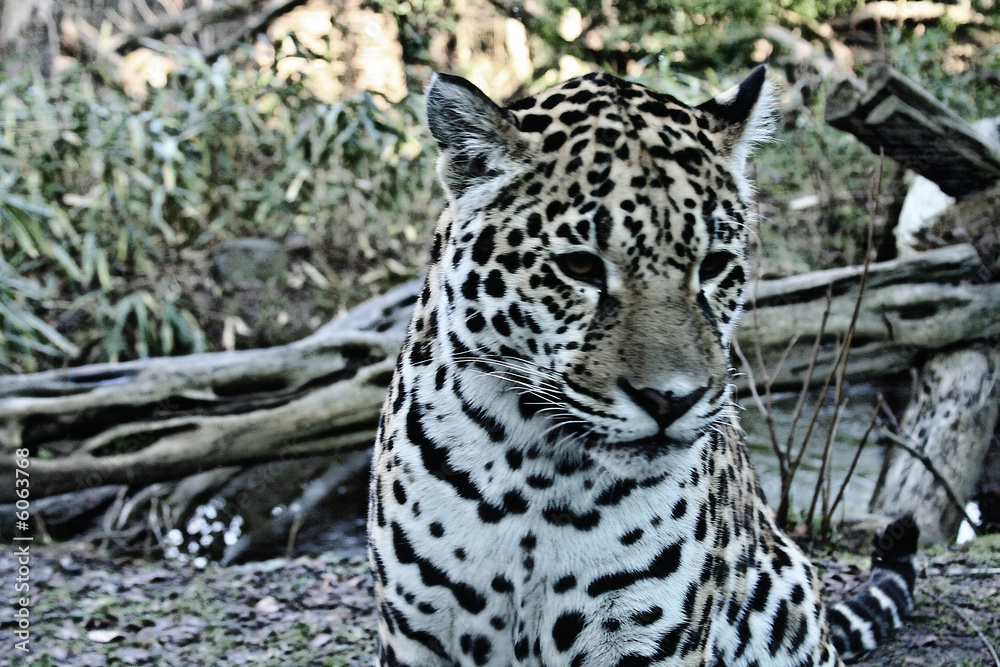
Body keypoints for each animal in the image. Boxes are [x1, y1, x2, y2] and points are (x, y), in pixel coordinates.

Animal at [367, 66, 918, 667]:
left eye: (714, 265)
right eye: (580, 266)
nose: (671, 400)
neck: (530, 476)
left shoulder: (641, 635)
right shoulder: (418, 634)